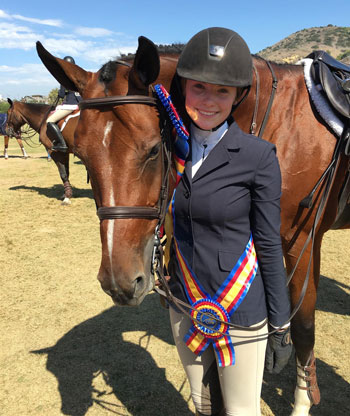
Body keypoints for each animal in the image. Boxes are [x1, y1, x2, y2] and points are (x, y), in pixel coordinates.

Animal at [36, 37, 350, 414]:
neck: (279, 124)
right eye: (81, 154)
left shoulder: (300, 242)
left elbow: (302, 328)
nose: (119, 284)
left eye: (153, 150)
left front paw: (302, 400)